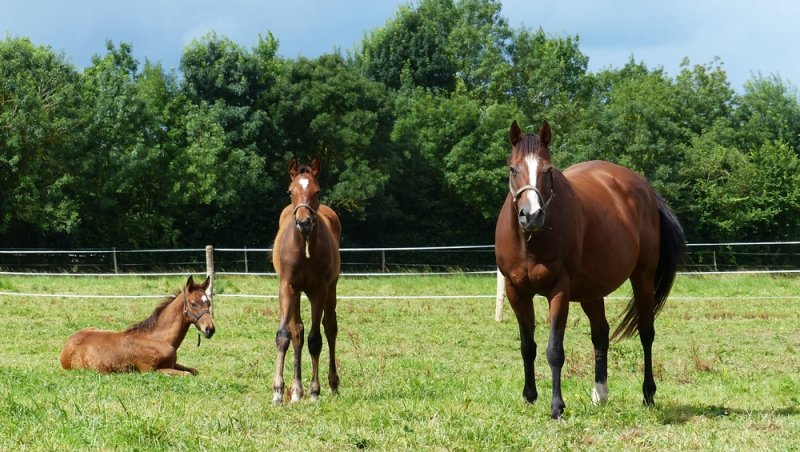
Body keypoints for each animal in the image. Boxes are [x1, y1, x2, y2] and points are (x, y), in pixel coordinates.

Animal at [60, 275, 215, 376]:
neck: (158, 339)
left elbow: (194, 371)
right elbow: (188, 374)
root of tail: (68, 343)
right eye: (193, 303)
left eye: (208, 302)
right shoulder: (150, 371)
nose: (210, 329)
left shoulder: (171, 364)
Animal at [271, 157, 341, 404]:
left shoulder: (318, 290)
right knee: (297, 331)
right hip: (297, 293)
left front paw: (315, 392)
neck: (304, 248)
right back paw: (296, 390)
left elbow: (315, 339)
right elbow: (285, 335)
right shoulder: (287, 287)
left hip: (331, 288)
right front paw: (278, 391)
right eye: (290, 191)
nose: (304, 222)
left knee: (330, 328)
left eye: (317, 191)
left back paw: (332, 385)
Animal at [495, 120, 685, 419]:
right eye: (513, 169)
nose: (532, 215)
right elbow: (527, 346)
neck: (530, 241)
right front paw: (529, 396)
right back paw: (600, 394)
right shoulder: (516, 292)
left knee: (646, 332)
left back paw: (648, 394)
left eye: (548, 170)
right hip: (591, 291)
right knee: (601, 334)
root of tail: (645, 188)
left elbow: (554, 350)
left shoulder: (559, 291)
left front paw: (557, 406)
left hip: (642, 278)